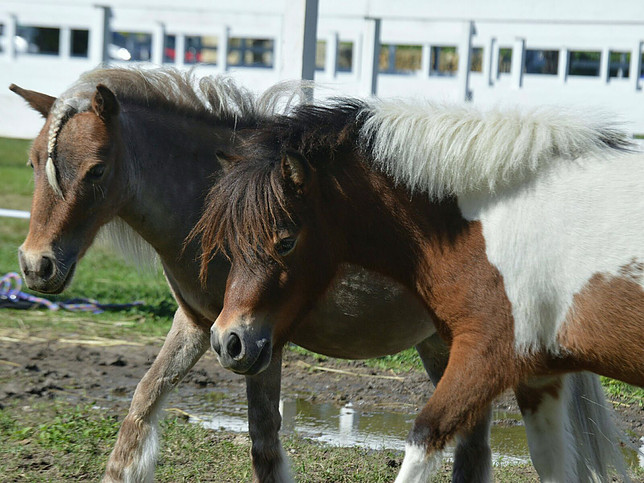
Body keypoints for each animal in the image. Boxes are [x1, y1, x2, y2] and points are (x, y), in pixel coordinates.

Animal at [6, 65, 588, 483]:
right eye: (33, 162)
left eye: (96, 170)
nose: (37, 265)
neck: (211, 202)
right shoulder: (200, 325)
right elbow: (141, 408)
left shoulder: (261, 341)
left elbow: (264, 442)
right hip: (439, 344)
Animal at [197, 96, 644, 482]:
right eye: (231, 241)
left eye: (286, 241)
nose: (228, 341)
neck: (486, 220)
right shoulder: (539, 373)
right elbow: (551, 463)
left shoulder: (484, 356)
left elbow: (424, 438)